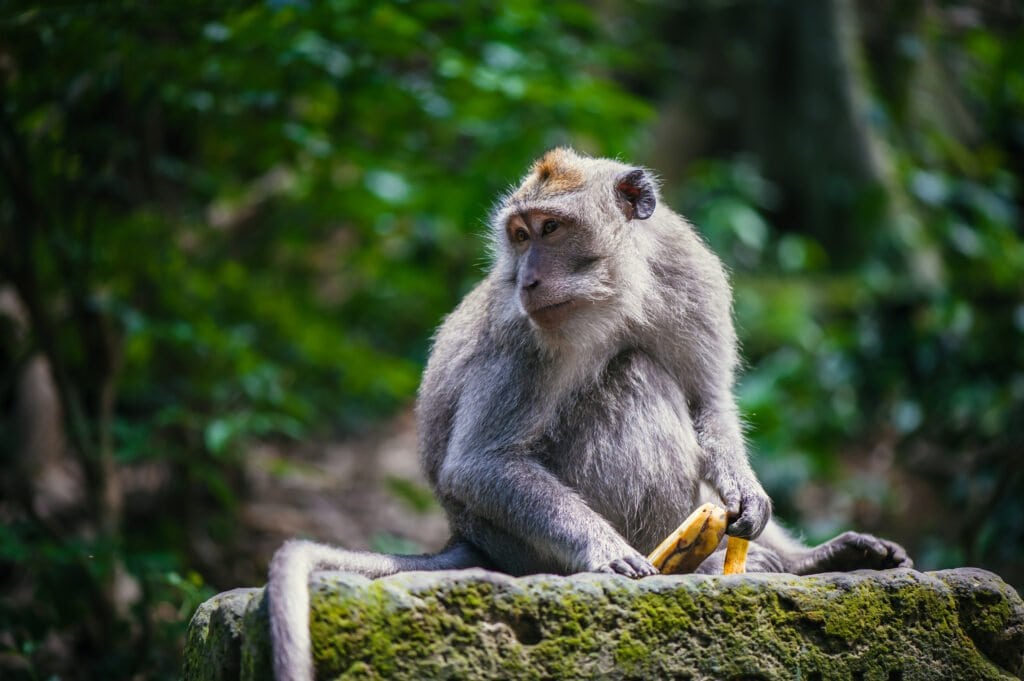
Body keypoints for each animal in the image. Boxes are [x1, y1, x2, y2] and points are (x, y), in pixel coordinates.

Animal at [268, 147, 912, 681]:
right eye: (519, 234)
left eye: (550, 228)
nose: (528, 278)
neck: (615, 290)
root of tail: (467, 540)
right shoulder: (521, 332)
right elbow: (480, 463)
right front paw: (605, 550)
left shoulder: (689, 273)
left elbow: (708, 402)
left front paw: (748, 495)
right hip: (523, 545)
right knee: (635, 373)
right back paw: (701, 568)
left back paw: (804, 560)